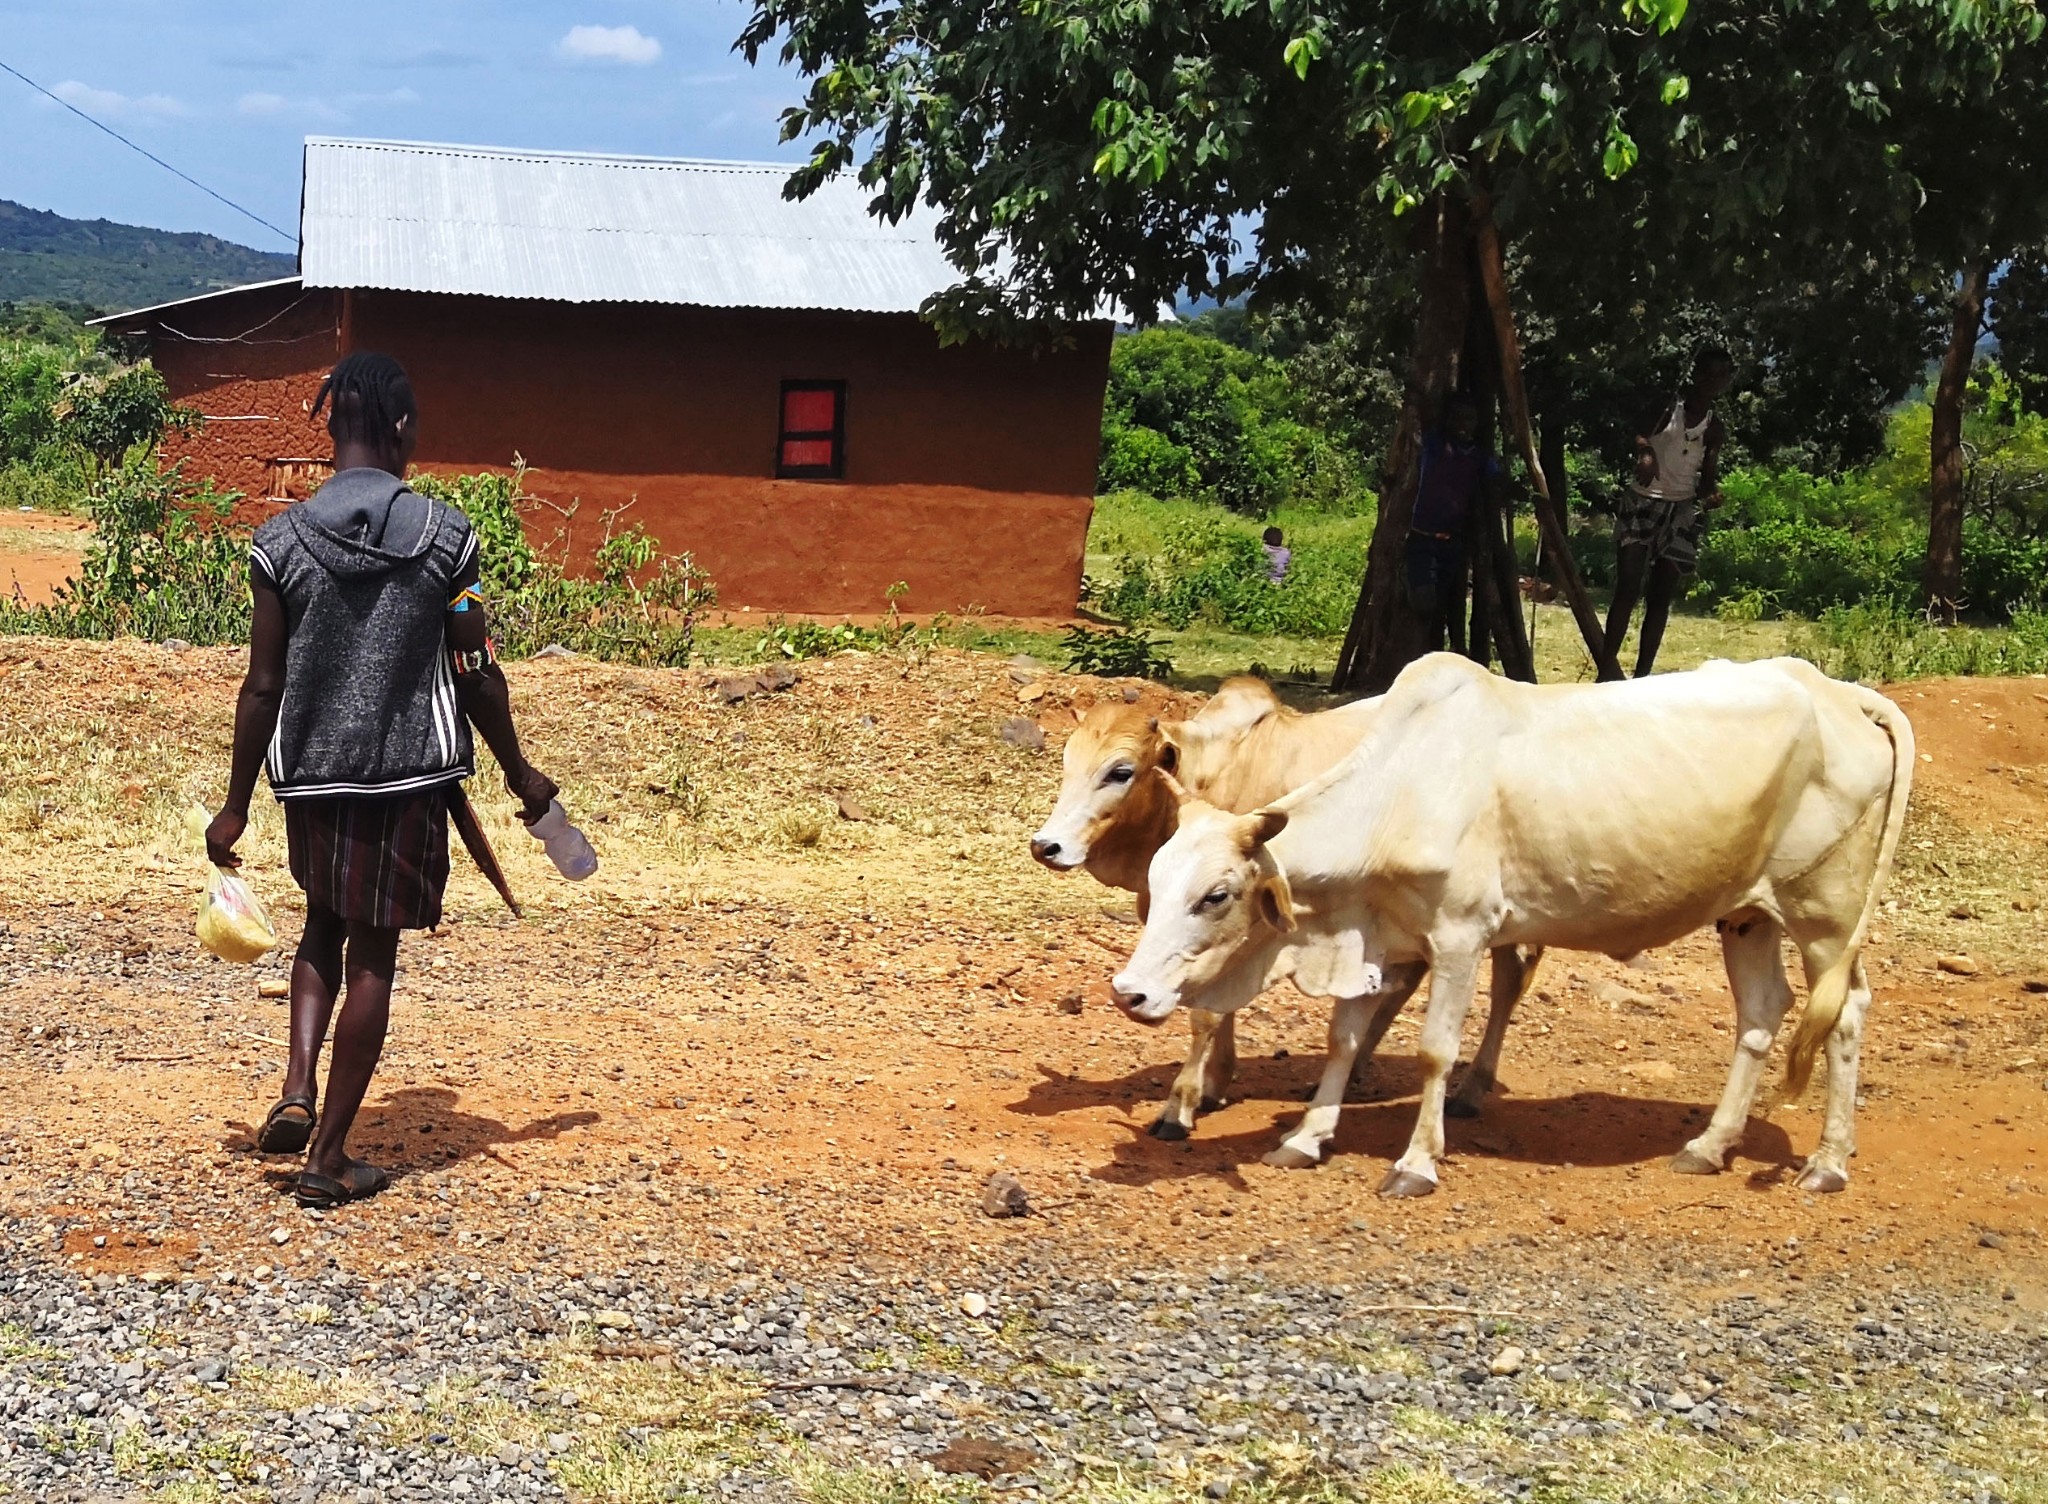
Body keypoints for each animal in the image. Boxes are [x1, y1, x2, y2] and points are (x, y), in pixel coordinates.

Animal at [1032, 680, 1531, 1163]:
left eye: (1120, 772)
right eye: (1067, 762)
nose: (1046, 846)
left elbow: (1205, 1015)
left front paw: (1181, 1105)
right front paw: (1215, 1084)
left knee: (1508, 981)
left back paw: (1470, 1091)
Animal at [1114, 659, 1908, 1204]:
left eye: (1216, 895)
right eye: (1156, 879)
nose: (1129, 992)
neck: (1402, 790)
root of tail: (1837, 690)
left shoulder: (1461, 937)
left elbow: (1435, 1052)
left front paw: (1415, 1163)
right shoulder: (1376, 934)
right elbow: (1343, 1038)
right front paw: (1307, 1137)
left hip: (1826, 914)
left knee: (1845, 1016)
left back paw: (1827, 1162)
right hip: (1746, 914)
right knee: (1761, 1013)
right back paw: (1708, 1145)